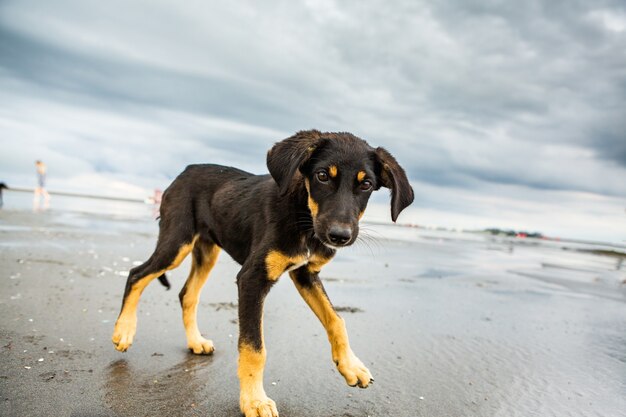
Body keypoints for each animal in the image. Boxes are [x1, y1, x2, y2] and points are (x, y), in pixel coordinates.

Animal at [111, 130, 414, 416]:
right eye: (322, 176)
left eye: (366, 184)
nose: (339, 236)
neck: (303, 215)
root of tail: (184, 171)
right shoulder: (252, 279)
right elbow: (254, 348)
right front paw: (254, 401)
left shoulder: (306, 275)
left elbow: (336, 320)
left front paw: (351, 366)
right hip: (177, 243)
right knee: (136, 273)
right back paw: (124, 331)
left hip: (207, 252)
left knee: (187, 294)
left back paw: (195, 342)